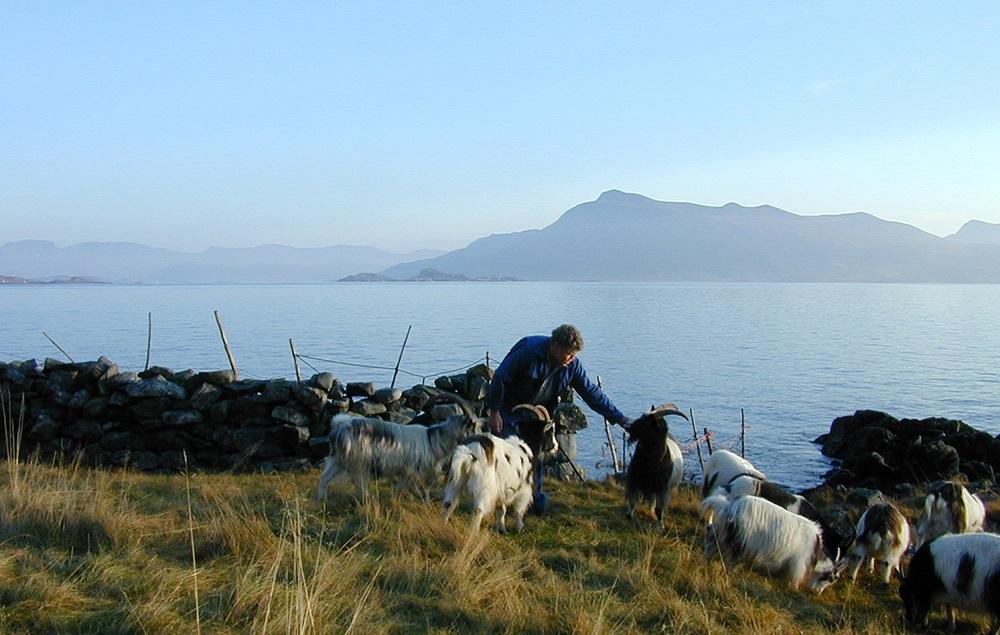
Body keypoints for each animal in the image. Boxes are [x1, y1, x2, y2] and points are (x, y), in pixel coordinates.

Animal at [314, 392, 482, 502]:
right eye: (472, 426)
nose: (482, 440)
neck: (433, 440)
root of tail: (339, 428)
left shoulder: (408, 473)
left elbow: (404, 487)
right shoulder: (414, 471)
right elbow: (420, 489)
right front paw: (425, 502)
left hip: (337, 460)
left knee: (324, 478)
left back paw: (323, 500)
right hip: (359, 463)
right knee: (359, 483)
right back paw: (367, 499)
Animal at [442, 404, 560, 536]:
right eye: (550, 432)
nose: (556, 447)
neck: (527, 444)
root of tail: (468, 452)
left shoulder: (503, 488)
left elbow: (501, 509)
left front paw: (502, 529)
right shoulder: (524, 489)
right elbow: (519, 510)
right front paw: (520, 528)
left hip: (455, 481)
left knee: (448, 504)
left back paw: (443, 525)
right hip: (483, 486)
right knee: (478, 509)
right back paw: (474, 533)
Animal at [700, 494, 848, 592]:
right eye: (832, 578)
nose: (816, 593)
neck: (815, 551)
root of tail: (729, 506)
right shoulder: (798, 563)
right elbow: (794, 579)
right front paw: (793, 589)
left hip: (721, 533)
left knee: (711, 544)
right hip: (739, 541)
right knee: (731, 558)